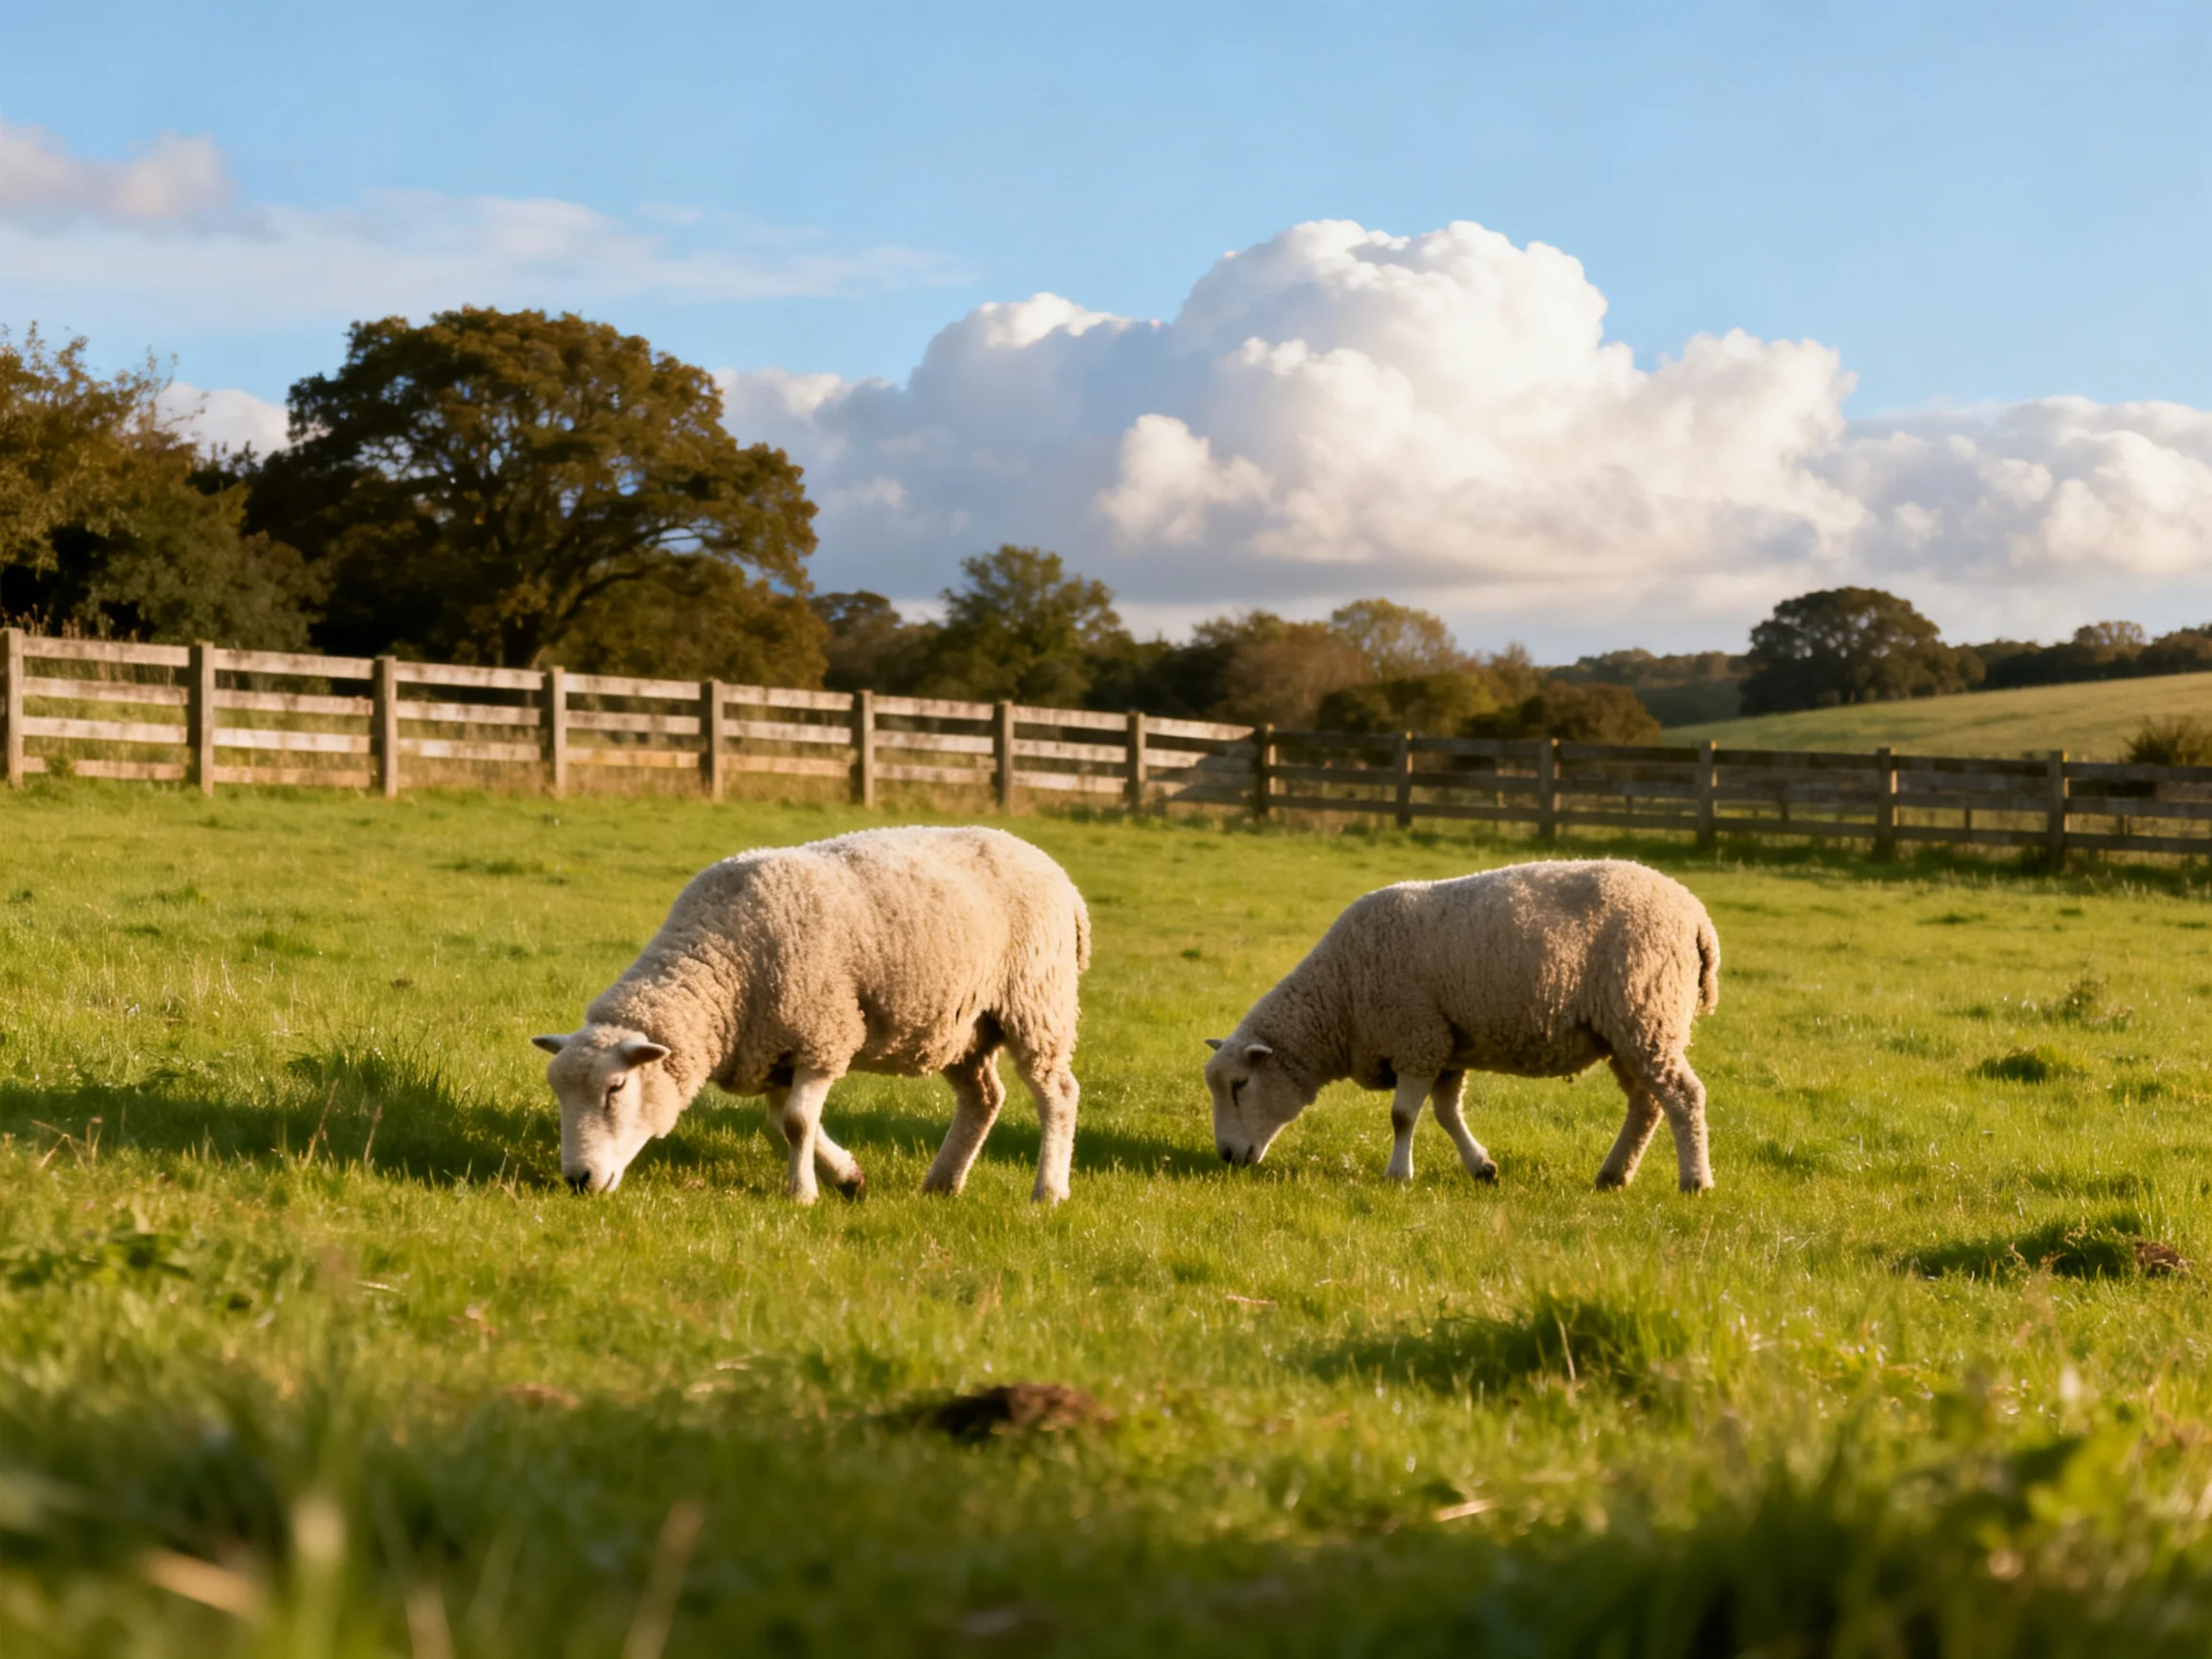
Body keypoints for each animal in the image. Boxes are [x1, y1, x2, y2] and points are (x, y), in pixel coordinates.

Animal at [533, 825, 1090, 1203]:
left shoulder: (823, 1035)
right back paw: (942, 1182)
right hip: (962, 1028)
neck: (722, 962)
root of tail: (1059, 875)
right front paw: (847, 1176)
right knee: (983, 1098)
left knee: (1058, 1094)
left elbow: (798, 1122)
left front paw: (802, 1194)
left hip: (1037, 1003)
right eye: (558, 1093)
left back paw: (1048, 1191)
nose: (577, 1180)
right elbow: (785, 1122)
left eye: (616, 1088)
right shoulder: (774, 1051)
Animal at [1204, 858, 1720, 1192]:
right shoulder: (1444, 1045)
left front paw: (1398, 1175)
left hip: (1646, 1015)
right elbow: (1446, 1114)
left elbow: (1402, 1116)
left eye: (1240, 1085)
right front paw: (1482, 1167)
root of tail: (1697, 915)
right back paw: (1614, 1176)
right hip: (1628, 1031)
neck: (1339, 996)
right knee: (1646, 1104)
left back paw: (1695, 1181)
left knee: (1684, 1096)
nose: (1226, 1157)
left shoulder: (1417, 1038)